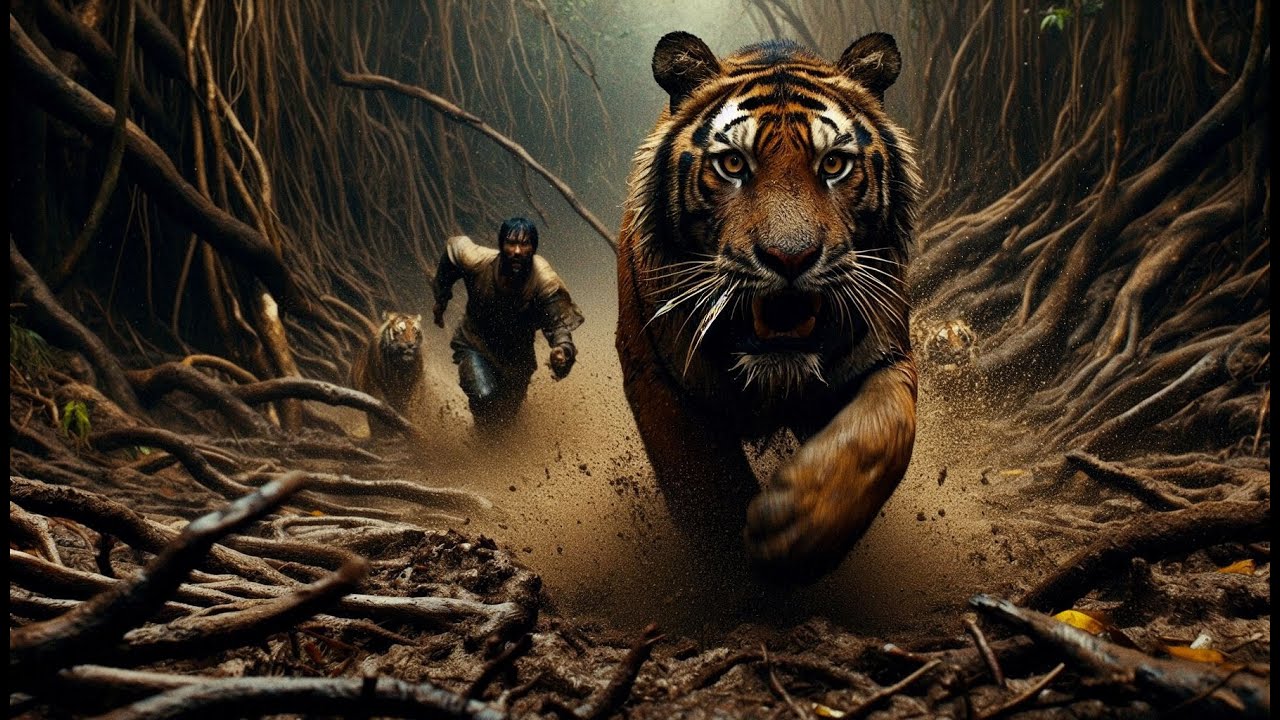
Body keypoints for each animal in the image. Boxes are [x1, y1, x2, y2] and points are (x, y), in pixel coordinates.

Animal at [616, 31, 921, 582]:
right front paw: (737, 571)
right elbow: (706, 490)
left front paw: (798, 525)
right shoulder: (659, 379)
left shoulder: (885, 358)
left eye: (833, 164)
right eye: (733, 164)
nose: (790, 257)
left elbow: (882, 433)